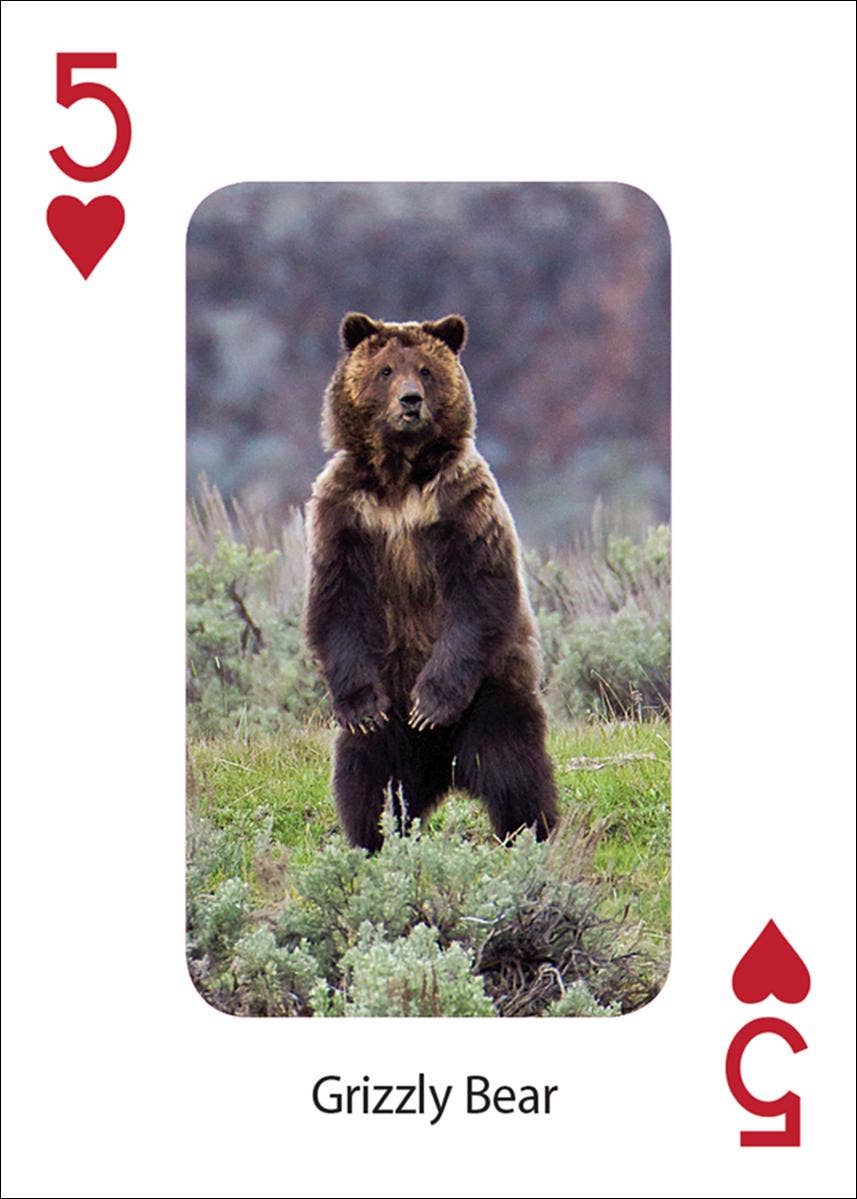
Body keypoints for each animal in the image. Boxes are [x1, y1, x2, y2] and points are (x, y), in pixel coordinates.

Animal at [304, 311, 558, 851]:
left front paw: (430, 705)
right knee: (368, 779)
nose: (410, 401)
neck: (400, 480)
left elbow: (478, 595)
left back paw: (530, 834)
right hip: (391, 723)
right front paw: (361, 708)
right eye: (385, 370)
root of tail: (443, 769)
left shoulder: (462, 506)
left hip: (493, 696)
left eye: (425, 369)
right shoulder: (345, 515)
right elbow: (335, 603)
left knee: (513, 769)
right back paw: (373, 840)